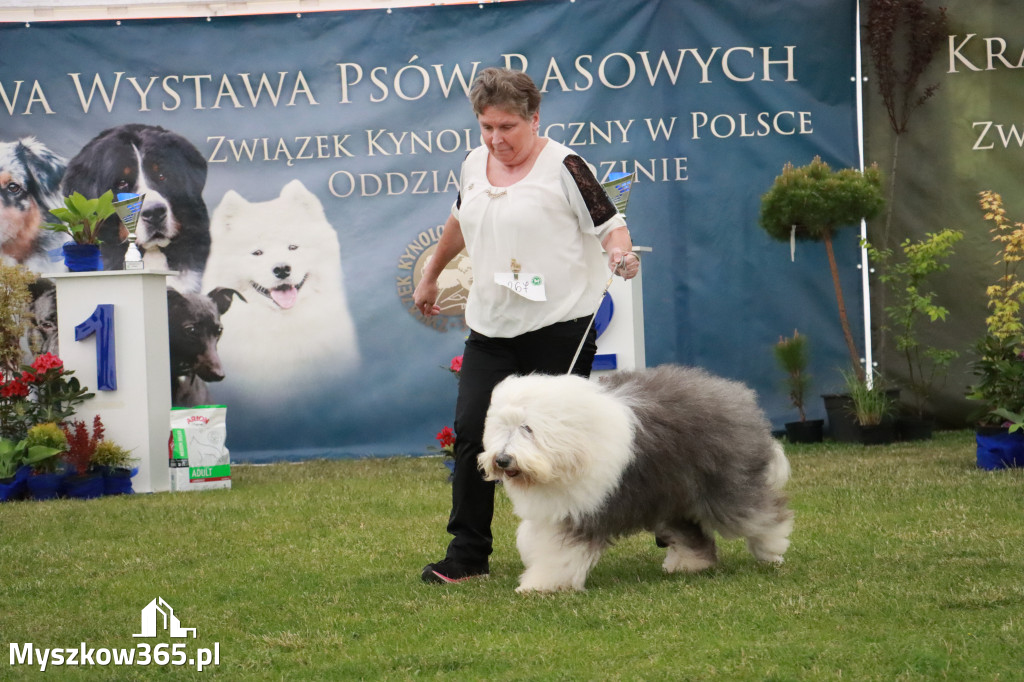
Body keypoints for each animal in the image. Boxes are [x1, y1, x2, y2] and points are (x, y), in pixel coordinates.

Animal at [479, 360, 790, 589]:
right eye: (501, 427)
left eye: (527, 428)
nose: (502, 460)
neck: (572, 444)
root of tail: (737, 395)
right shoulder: (558, 509)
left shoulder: (582, 511)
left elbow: (559, 552)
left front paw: (539, 585)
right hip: (671, 490)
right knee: (691, 531)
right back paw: (690, 564)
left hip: (724, 486)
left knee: (761, 514)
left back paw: (772, 550)